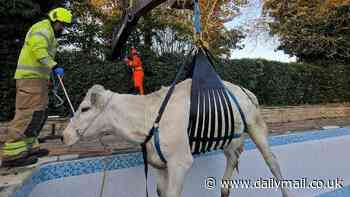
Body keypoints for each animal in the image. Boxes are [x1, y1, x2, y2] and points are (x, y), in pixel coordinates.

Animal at [62, 79, 292, 197]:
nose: (64, 136)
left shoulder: (180, 162)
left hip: (256, 125)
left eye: (84, 108)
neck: (148, 118)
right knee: (233, 157)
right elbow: (160, 192)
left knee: (272, 161)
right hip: (227, 135)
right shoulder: (159, 162)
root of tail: (245, 90)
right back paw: (224, 190)